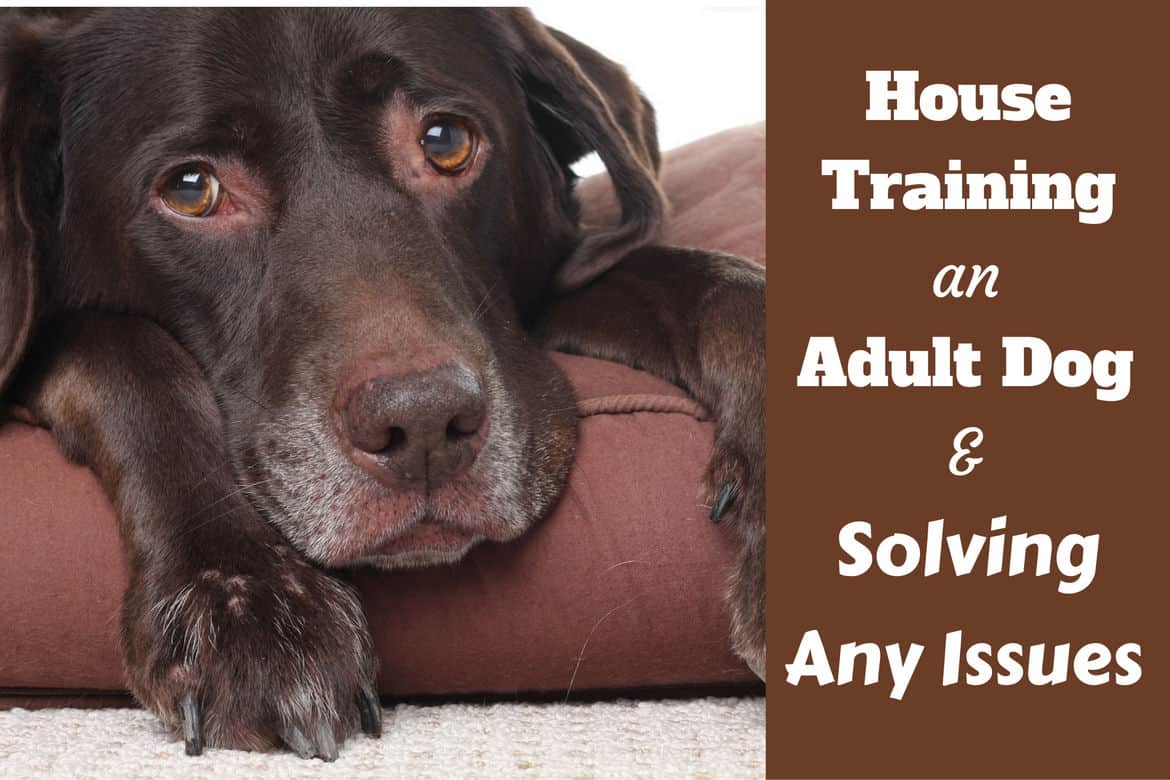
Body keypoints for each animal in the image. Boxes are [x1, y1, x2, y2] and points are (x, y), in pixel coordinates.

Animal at [0, 9, 767, 757]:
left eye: (446, 141)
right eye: (191, 190)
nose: (422, 425)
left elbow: (715, 282)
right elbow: (129, 353)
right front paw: (243, 599)